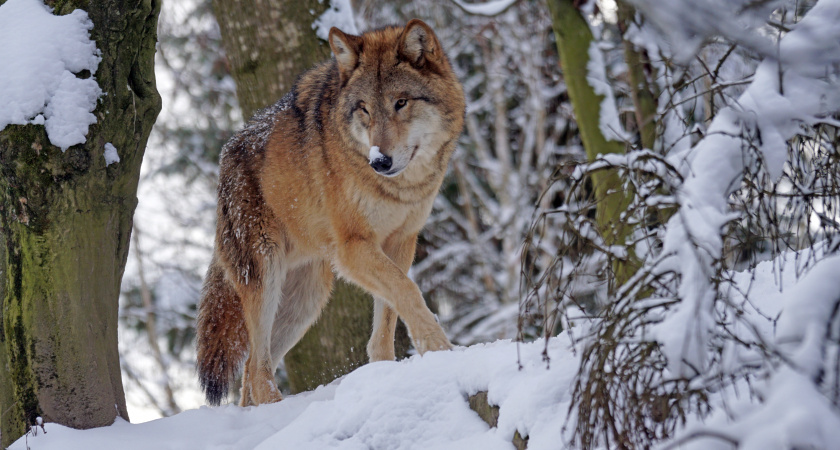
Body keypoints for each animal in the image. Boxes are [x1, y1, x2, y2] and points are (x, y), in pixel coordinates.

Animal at [199, 20, 466, 408]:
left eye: (401, 102)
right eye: (364, 108)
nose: (379, 161)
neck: (399, 189)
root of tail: (225, 157)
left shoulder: (401, 242)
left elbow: (388, 316)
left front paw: (387, 374)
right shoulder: (353, 248)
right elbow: (408, 291)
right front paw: (439, 350)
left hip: (305, 302)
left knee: (251, 369)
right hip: (266, 278)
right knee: (258, 368)